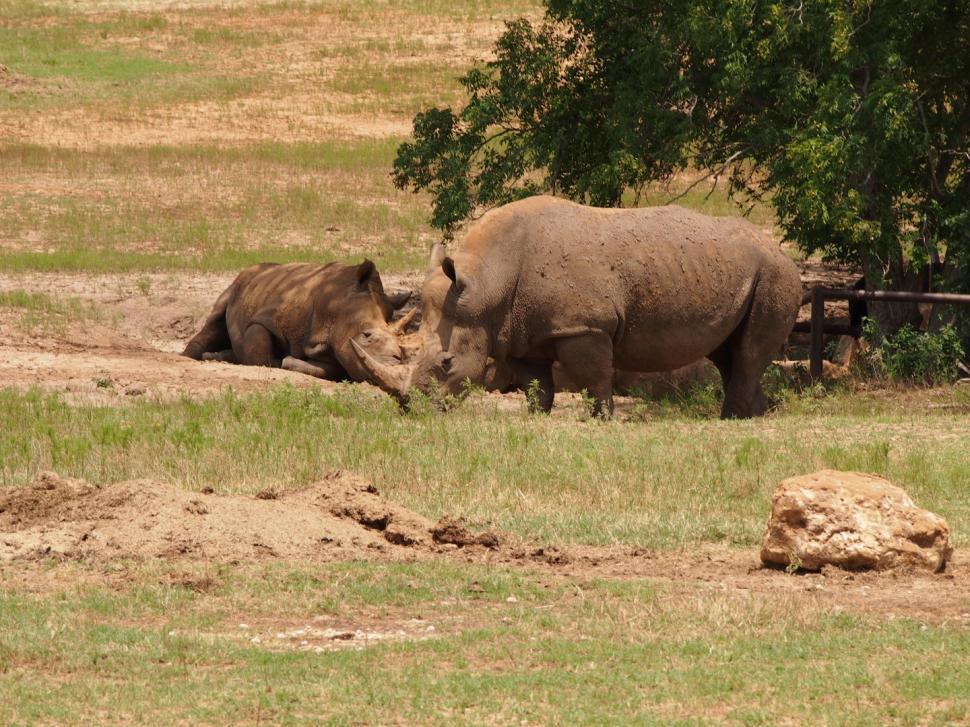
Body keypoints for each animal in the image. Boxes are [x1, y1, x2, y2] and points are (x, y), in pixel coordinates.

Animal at [183, 260, 414, 381]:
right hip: (238, 284)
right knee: (216, 318)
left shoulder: (334, 346)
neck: (335, 305)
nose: (394, 365)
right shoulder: (266, 318)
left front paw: (287, 361)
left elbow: (329, 369)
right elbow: (259, 350)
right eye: (366, 335)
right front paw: (277, 361)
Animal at [356, 196, 802, 418]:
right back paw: (754, 416)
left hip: (775, 274)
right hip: (741, 271)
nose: (411, 409)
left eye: (447, 363)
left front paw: (601, 420)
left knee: (746, 355)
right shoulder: (520, 331)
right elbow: (537, 383)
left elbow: (595, 379)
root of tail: (783, 251)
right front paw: (537, 417)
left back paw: (731, 420)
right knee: (728, 353)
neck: (486, 285)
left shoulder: (582, 326)